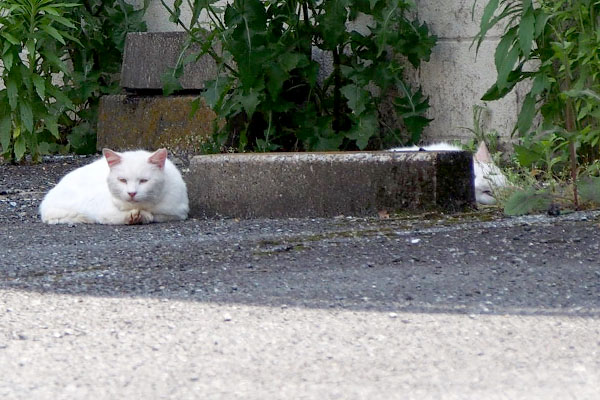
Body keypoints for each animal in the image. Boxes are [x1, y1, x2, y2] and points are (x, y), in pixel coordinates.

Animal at [39, 149, 189, 225]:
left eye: (143, 181)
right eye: (122, 180)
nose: (132, 193)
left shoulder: (178, 212)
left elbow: (156, 215)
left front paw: (142, 216)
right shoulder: (103, 210)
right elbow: (112, 217)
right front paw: (136, 216)